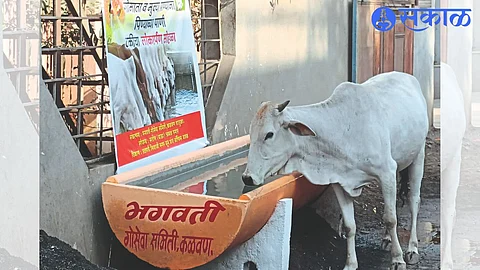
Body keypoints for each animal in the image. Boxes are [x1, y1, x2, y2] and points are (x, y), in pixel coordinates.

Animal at [242, 70, 430, 268]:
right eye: (251, 134)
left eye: (269, 134)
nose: (247, 177)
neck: (342, 128)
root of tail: (405, 75)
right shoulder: (340, 181)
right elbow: (350, 226)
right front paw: (350, 264)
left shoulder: (386, 172)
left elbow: (390, 219)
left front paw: (398, 259)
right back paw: (387, 239)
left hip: (418, 157)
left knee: (413, 202)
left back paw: (412, 249)